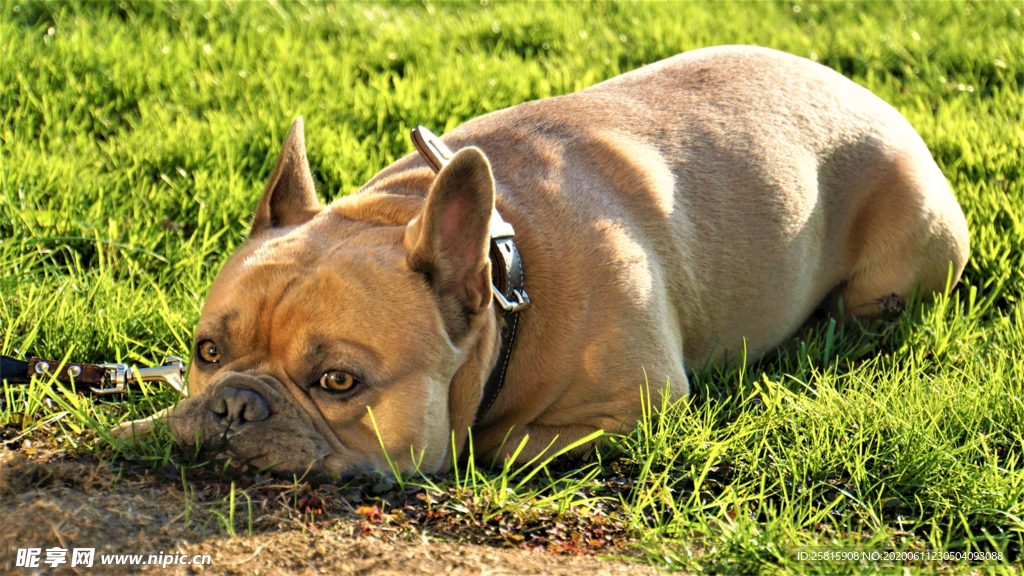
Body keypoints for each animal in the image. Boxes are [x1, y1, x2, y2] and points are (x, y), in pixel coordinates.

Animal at [114, 44, 966, 477]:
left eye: (338, 383)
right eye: (207, 352)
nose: (235, 405)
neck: (508, 275)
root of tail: (868, 96)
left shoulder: (640, 405)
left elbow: (497, 442)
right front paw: (152, 417)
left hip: (903, 259)